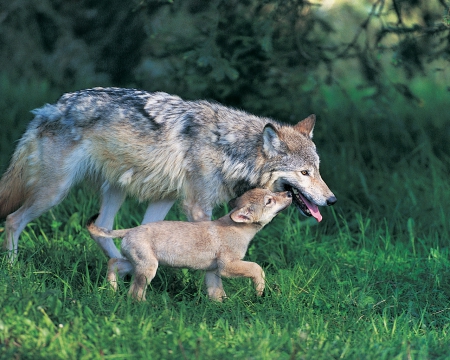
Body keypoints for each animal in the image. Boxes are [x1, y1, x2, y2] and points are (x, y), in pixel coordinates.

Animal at [0, 87, 336, 262]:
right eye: (304, 172)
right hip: (54, 193)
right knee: (13, 220)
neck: (230, 149)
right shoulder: (197, 207)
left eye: (318, 170)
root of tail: (49, 108)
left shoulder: (165, 199)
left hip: (115, 190)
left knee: (101, 228)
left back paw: (121, 266)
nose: (332, 200)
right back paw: (14, 267)